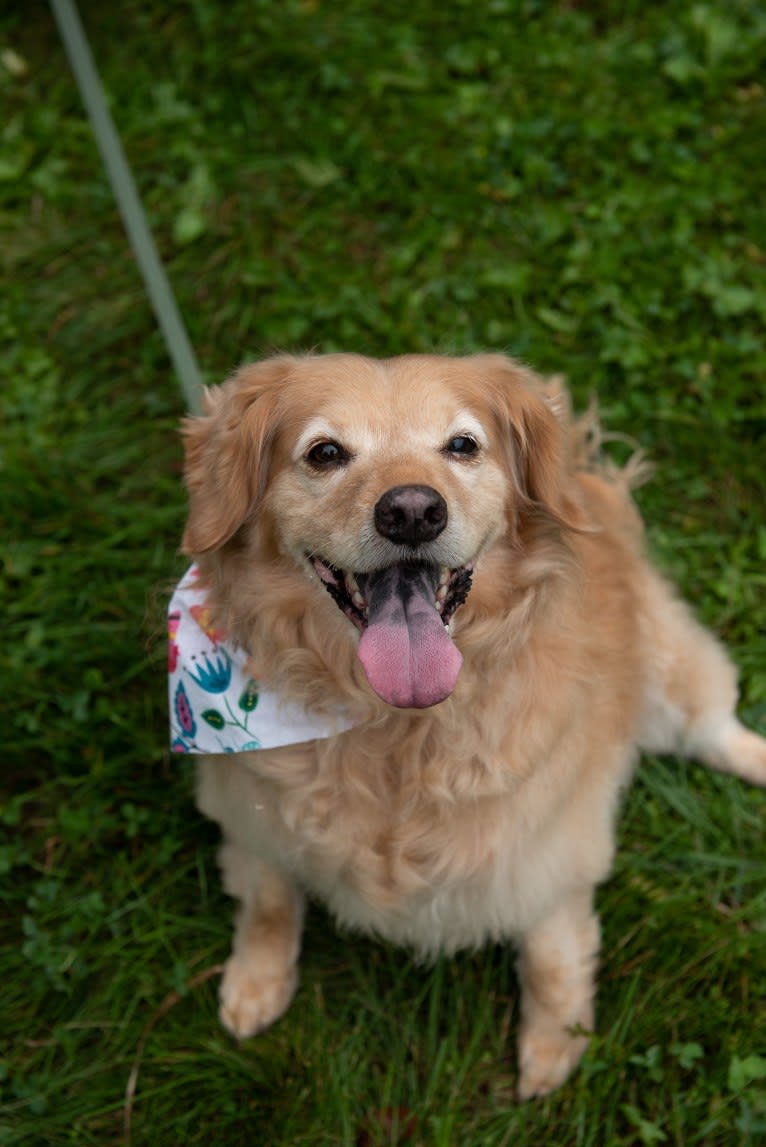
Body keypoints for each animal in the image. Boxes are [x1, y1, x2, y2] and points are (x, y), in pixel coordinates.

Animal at [175, 350, 766, 1101]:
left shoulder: (549, 848)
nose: (411, 511)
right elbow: (271, 902)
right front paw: (256, 981)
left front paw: (553, 1044)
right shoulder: (252, 816)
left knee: (715, 724)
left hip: (670, 680)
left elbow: (550, 958)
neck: (395, 726)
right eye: (325, 452)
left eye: (462, 445)